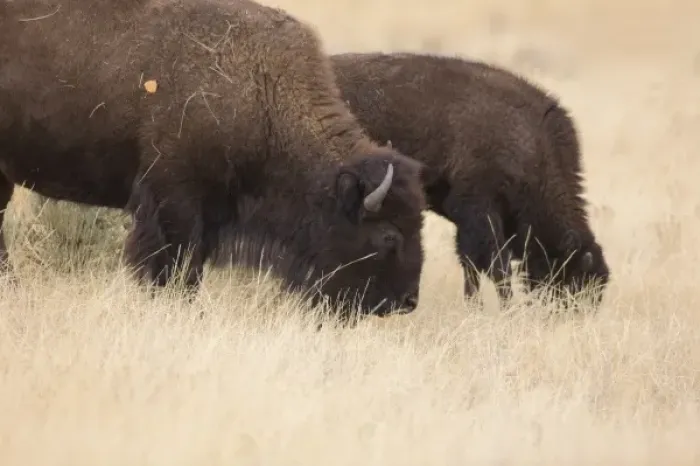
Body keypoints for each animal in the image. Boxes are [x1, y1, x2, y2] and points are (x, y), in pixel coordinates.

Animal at [330, 51, 610, 307]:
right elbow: (496, 266)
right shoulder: (479, 213)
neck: (532, 146)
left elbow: (471, 265)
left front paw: (474, 306)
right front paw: (506, 308)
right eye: (574, 283)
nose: (574, 318)